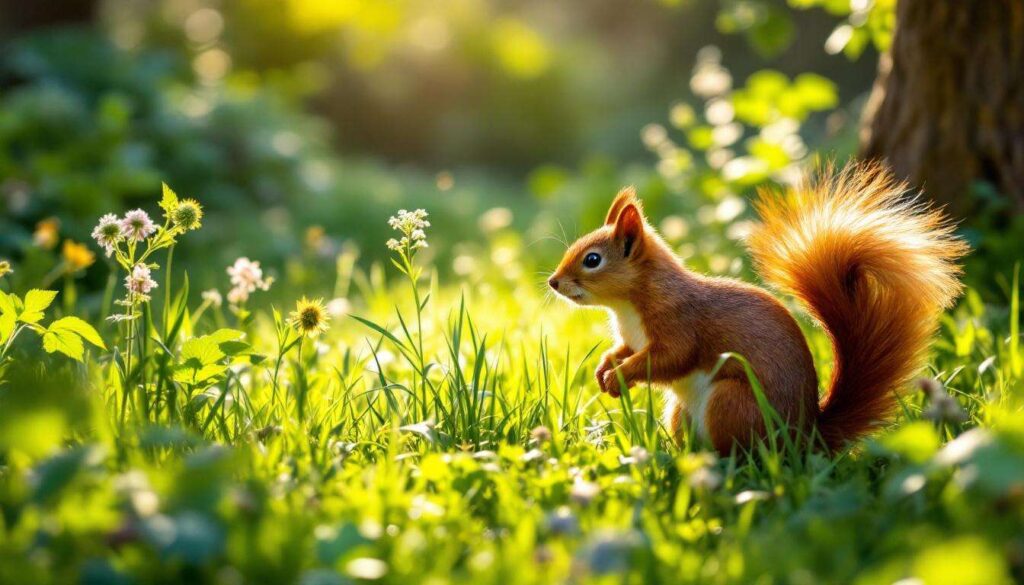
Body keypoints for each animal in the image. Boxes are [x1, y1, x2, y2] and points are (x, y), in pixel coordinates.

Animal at [548, 162, 968, 454]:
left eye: (592, 260)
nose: (553, 282)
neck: (627, 306)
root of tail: (804, 439)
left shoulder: (679, 323)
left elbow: (670, 358)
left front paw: (621, 376)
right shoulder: (632, 338)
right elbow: (623, 350)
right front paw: (605, 369)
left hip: (733, 402)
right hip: (683, 413)